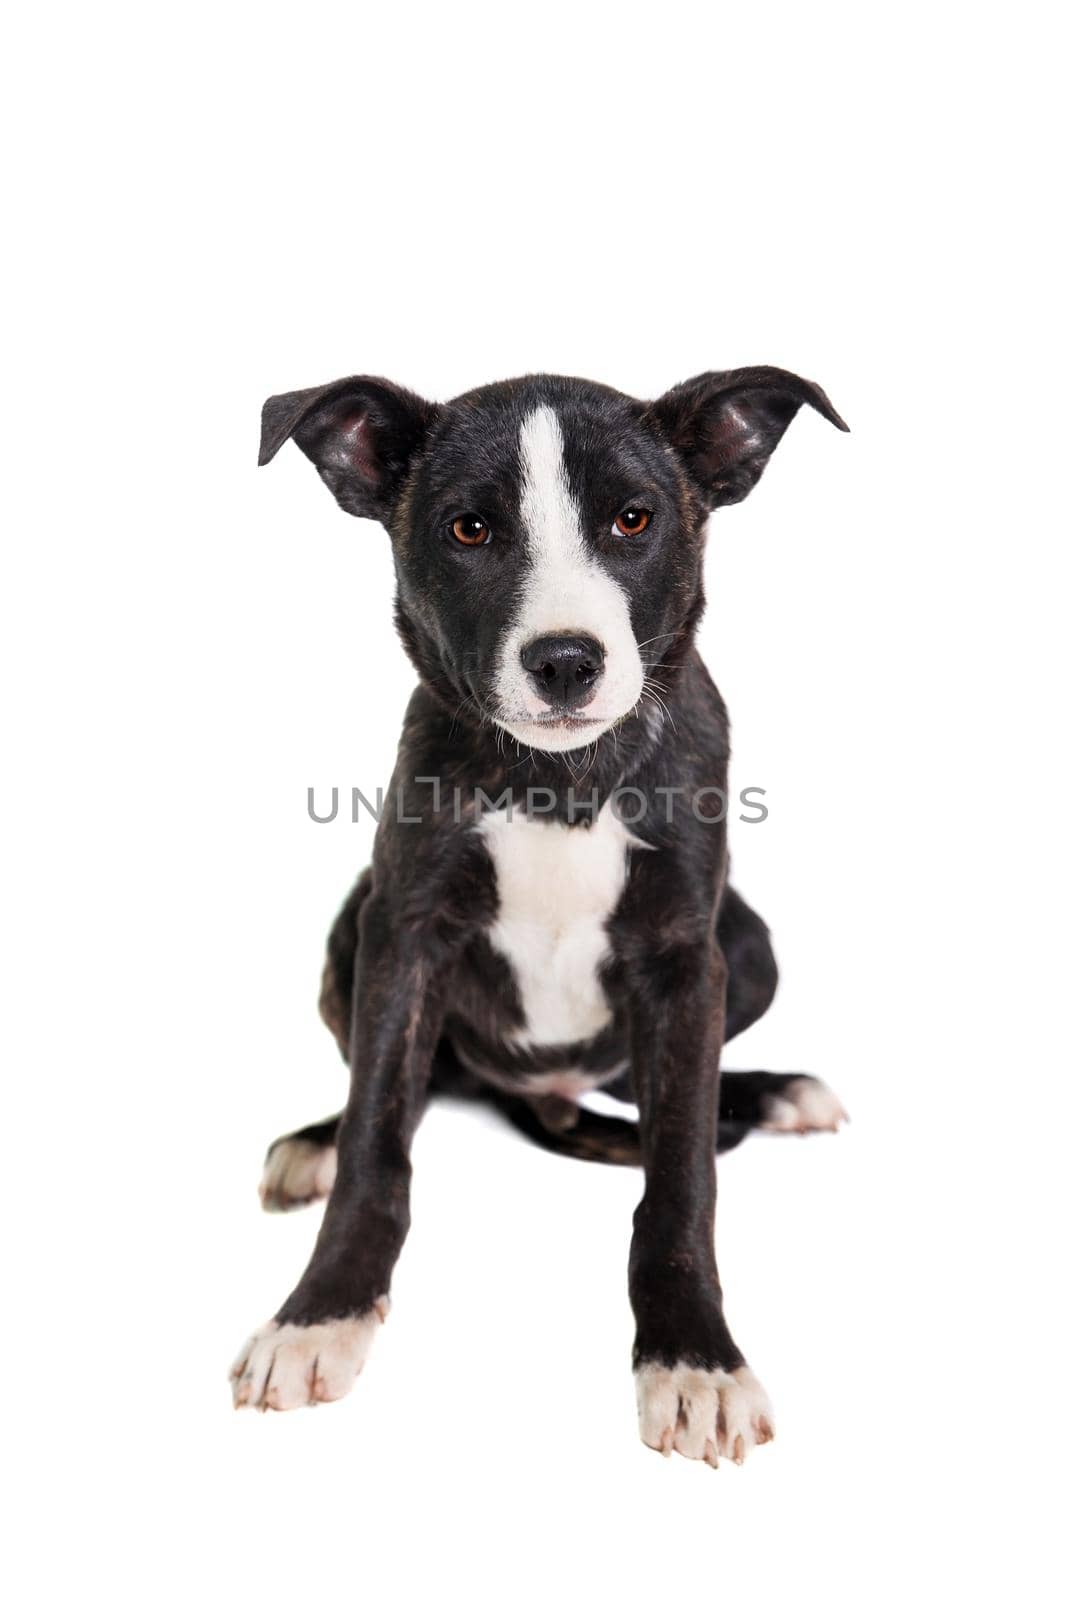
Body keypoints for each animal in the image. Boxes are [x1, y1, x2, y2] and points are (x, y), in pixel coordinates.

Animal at [231, 366, 851, 1465]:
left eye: (633, 519)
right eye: (469, 528)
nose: (565, 660)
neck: (558, 781)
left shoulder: (685, 958)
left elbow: (681, 1174)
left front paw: (694, 1360)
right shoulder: (405, 933)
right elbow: (376, 1141)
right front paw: (319, 1314)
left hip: (750, 946)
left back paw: (776, 1093)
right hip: (349, 928)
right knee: (411, 1087)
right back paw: (311, 1140)